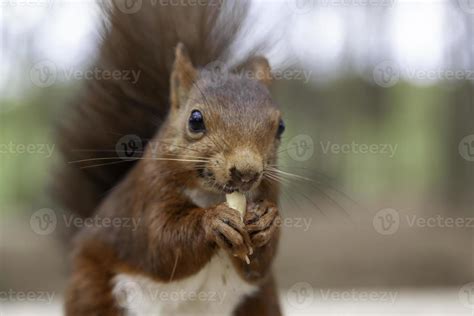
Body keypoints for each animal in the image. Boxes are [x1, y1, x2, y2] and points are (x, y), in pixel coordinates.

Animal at [55, 1, 286, 314]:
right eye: (195, 120)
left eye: (281, 127)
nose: (246, 172)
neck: (210, 195)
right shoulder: (147, 195)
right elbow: (161, 241)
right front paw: (213, 221)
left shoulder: (270, 191)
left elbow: (259, 265)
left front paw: (267, 220)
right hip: (93, 290)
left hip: (262, 300)